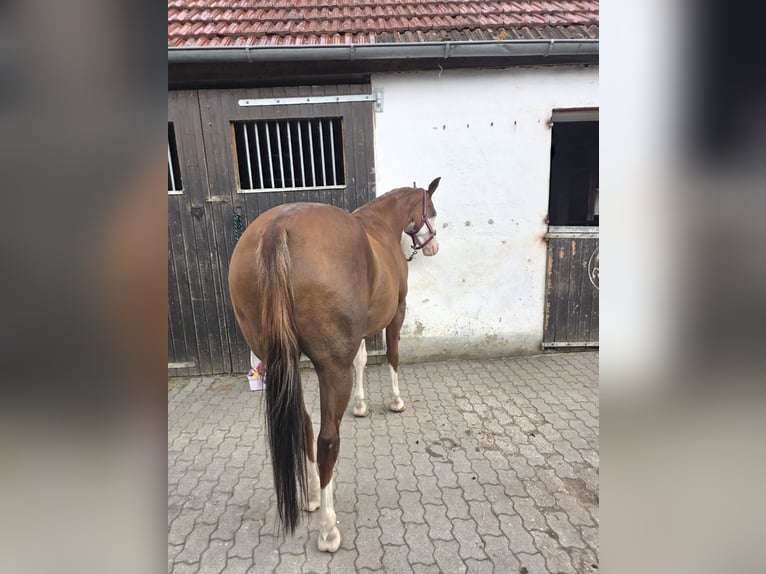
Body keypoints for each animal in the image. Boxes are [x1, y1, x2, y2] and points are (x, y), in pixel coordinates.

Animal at [228, 177, 441, 552]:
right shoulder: (396, 313)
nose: (433, 247)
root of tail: (277, 227)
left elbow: (362, 360)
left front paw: (361, 405)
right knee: (327, 440)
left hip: (280, 362)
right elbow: (392, 356)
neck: (381, 225)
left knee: (304, 425)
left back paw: (313, 496)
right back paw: (328, 528)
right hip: (330, 367)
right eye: (430, 210)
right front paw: (395, 401)